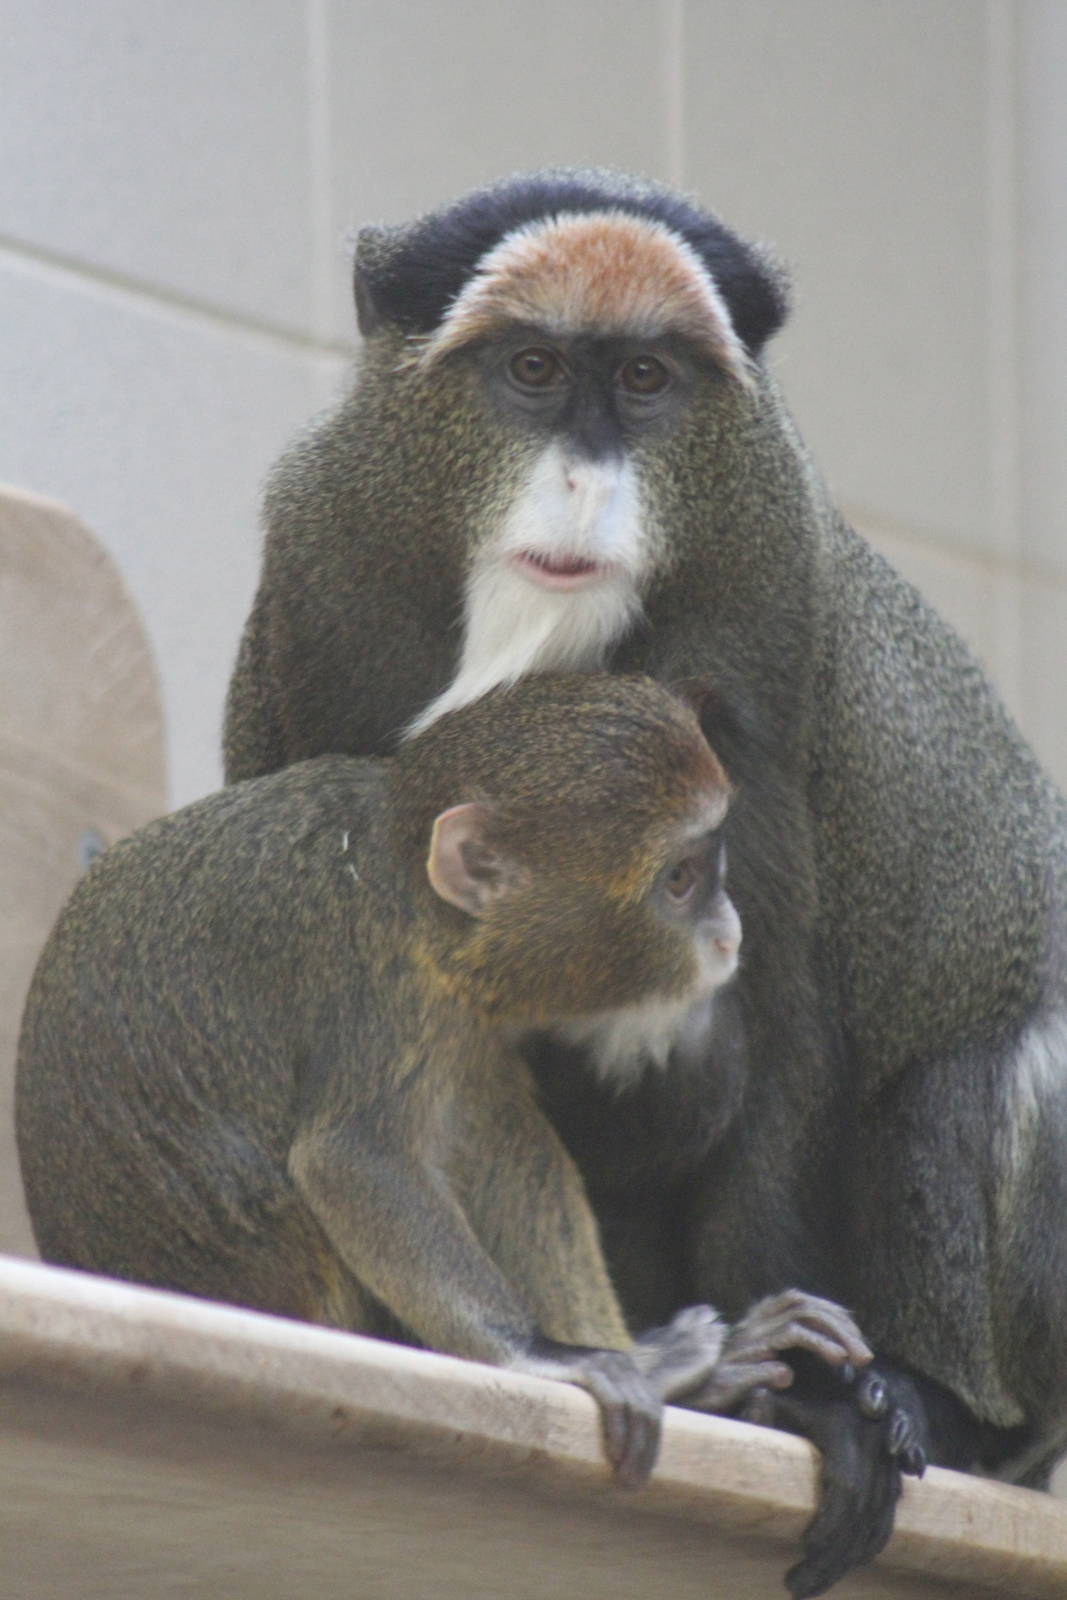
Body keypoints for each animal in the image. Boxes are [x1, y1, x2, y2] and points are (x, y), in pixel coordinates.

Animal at [16, 671, 871, 1493]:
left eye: (709, 866)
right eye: (682, 879)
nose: (729, 931)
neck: (412, 886)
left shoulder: (457, 1009)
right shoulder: (383, 983)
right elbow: (352, 1161)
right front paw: (546, 1357)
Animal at [219, 167, 1067, 1597]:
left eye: (647, 379)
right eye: (532, 368)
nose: (583, 478)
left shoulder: (760, 688)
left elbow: (779, 1036)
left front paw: (816, 1402)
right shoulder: (307, 613)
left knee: (995, 1065)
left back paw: (928, 1409)